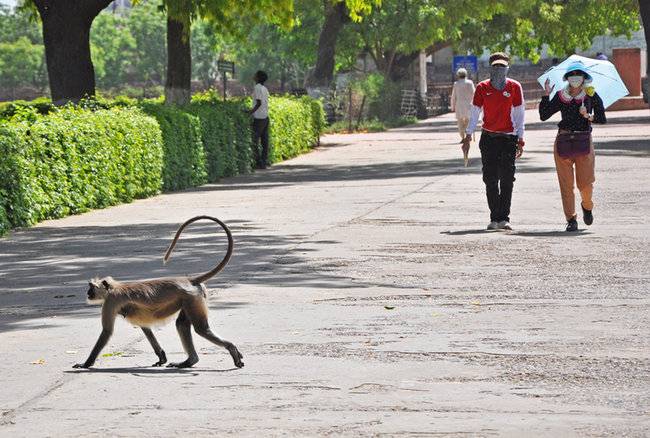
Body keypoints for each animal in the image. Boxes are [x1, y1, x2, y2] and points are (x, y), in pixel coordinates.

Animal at [73, 215, 243, 369]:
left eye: (91, 287)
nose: (87, 293)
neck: (114, 287)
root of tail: (189, 280)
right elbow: (145, 328)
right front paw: (161, 357)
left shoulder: (111, 301)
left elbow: (107, 332)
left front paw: (86, 364)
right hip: (189, 299)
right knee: (181, 325)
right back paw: (189, 361)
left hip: (192, 298)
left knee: (201, 329)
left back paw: (231, 349)